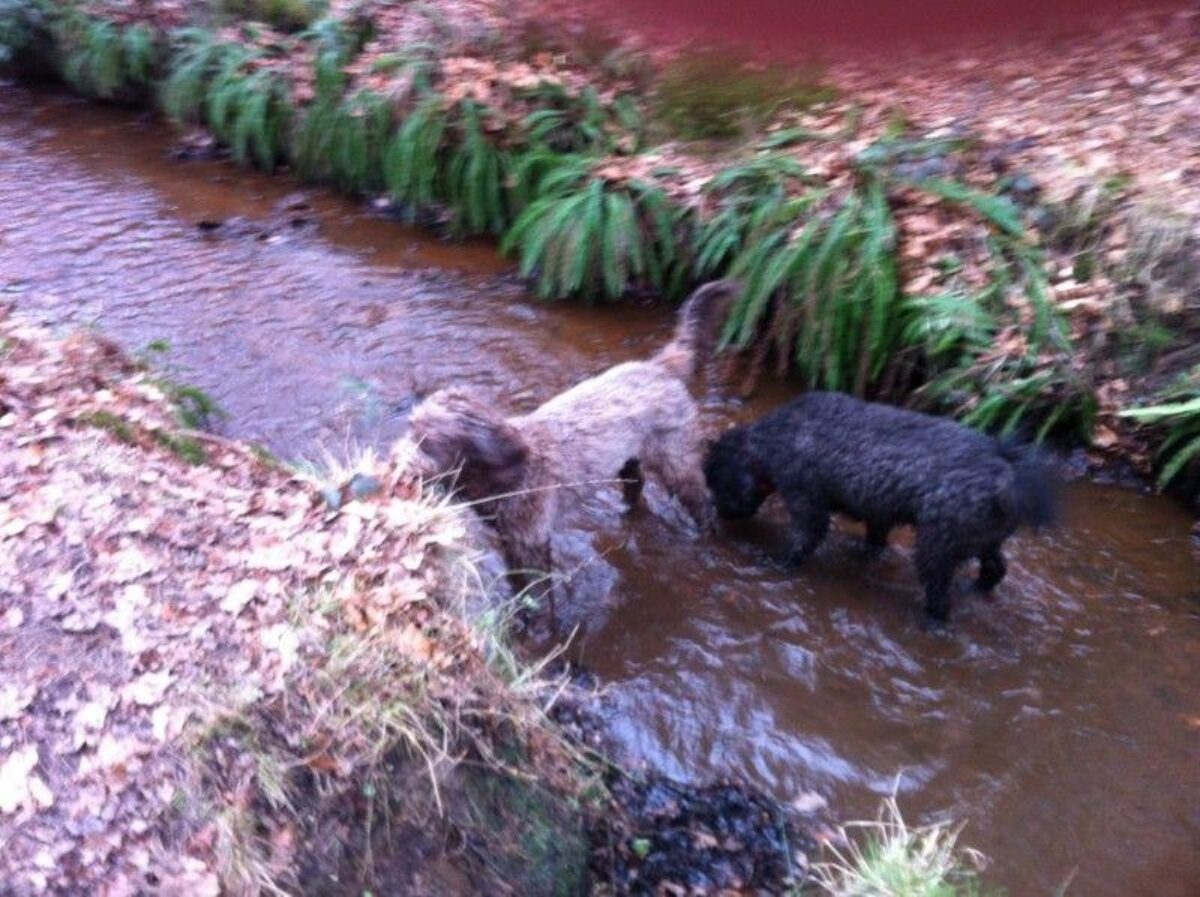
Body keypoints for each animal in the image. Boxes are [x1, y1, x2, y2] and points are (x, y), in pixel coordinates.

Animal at [705, 393, 1056, 623]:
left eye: (715, 482)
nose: (719, 514)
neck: (769, 442)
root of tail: (1006, 470)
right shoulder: (877, 514)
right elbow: (874, 540)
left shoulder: (806, 497)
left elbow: (804, 539)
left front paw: (778, 563)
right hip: (983, 539)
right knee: (996, 569)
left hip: (937, 547)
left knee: (940, 599)